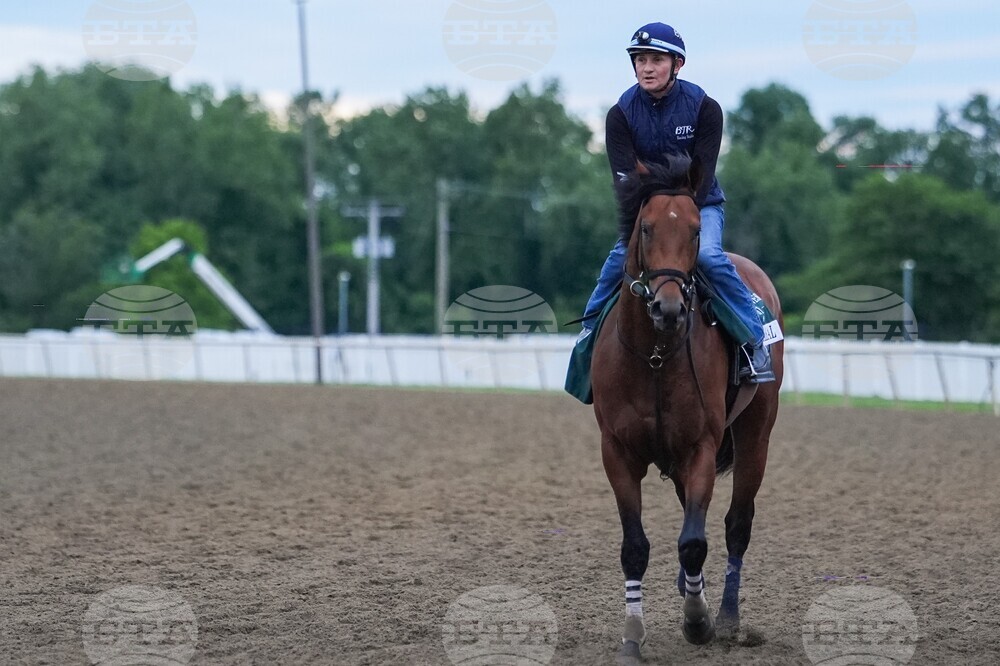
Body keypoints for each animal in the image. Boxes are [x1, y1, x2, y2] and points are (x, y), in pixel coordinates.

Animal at [590, 157, 784, 661]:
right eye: (645, 228)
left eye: (696, 231)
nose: (669, 307)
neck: (655, 356)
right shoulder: (617, 451)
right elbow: (635, 546)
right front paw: (632, 636)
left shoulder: (701, 446)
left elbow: (695, 541)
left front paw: (699, 621)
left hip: (756, 434)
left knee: (737, 524)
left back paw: (729, 616)